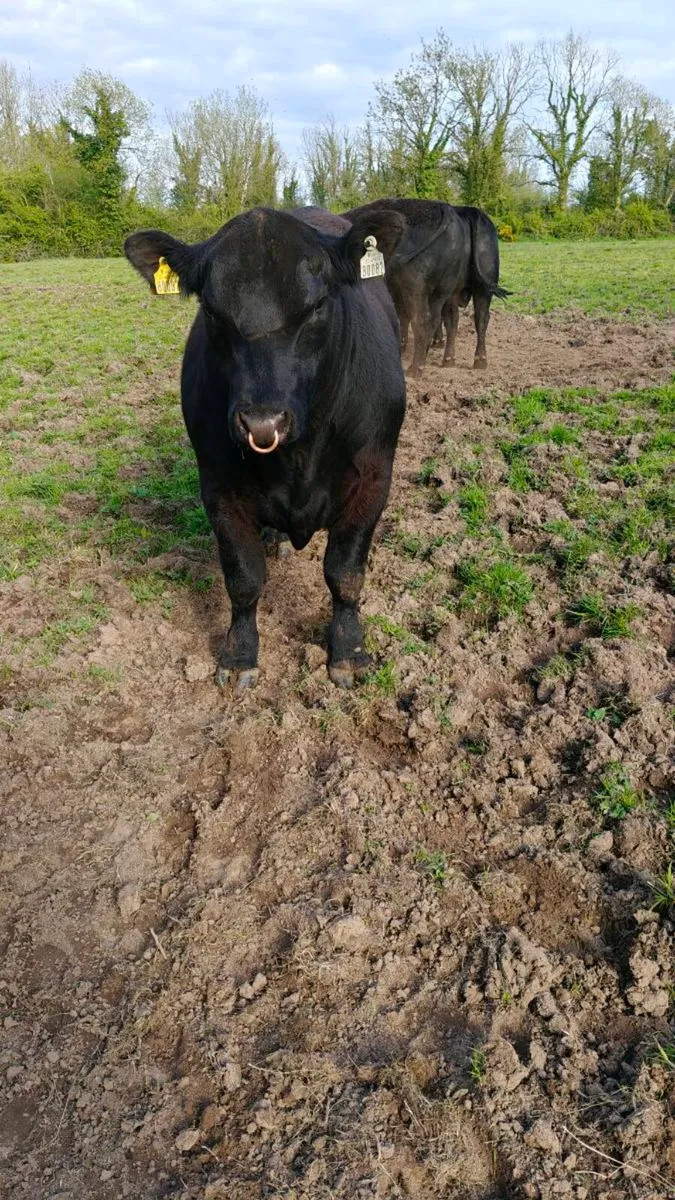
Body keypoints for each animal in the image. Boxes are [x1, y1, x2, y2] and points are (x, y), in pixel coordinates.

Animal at [124, 205, 406, 691]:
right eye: (211, 309)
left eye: (317, 306)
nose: (263, 422)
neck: (299, 456)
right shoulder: (218, 488)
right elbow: (244, 577)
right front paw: (239, 656)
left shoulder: (373, 479)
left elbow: (345, 573)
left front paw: (349, 653)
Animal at [342, 199, 509, 378]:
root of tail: (448, 211)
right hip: (467, 288)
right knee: (470, 318)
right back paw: (467, 360)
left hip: (416, 286)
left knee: (423, 319)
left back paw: (416, 367)